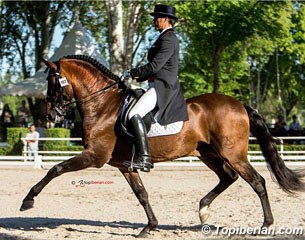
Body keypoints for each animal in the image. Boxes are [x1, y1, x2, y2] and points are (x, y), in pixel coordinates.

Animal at [20, 55, 304, 237]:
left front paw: (28, 200)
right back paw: (203, 210)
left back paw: (265, 225)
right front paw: (150, 226)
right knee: (228, 177)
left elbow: (55, 169)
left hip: (233, 154)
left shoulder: (94, 156)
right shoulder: (125, 164)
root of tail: (239, 105)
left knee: (257, 181)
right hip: (208, 153)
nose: (52, 116)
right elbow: (141, 194)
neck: (102, 105)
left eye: (53, 82)